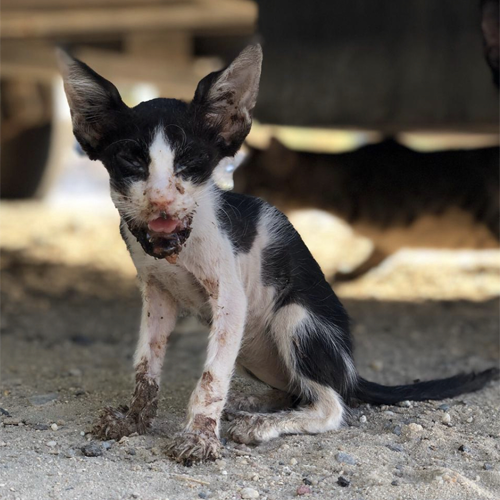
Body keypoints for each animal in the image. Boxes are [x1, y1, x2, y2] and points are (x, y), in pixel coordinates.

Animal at [59, 45, 500, 462]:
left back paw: (262, 423)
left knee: (330, 406)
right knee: (296, 390)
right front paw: (134, 418)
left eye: (191, 161)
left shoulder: (231, 299)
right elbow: (145, 363)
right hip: (252, 347)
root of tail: (350, 372)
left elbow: (211, 378)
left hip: (295, 318)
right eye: (130, 160)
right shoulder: (157, 295)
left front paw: (200, 436)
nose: (162, 201)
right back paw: (254, 403)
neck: (175, 252)